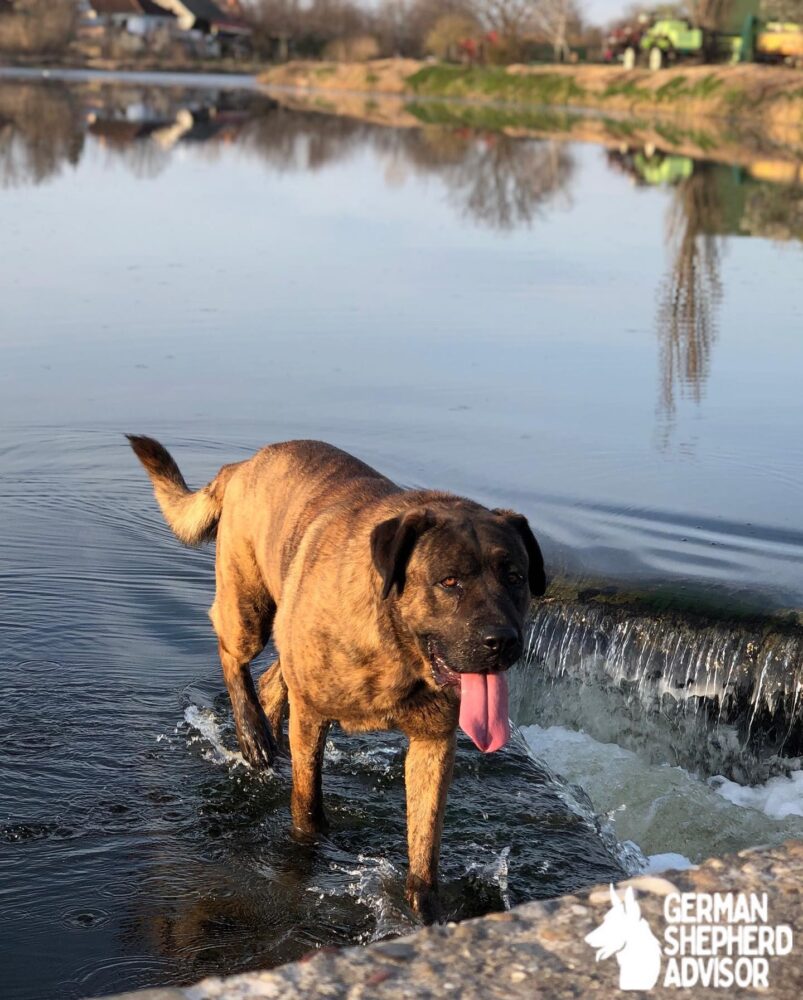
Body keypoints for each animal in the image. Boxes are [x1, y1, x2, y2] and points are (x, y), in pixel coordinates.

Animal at [129, 434, 548, 916]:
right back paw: (252, 734)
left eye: (515, 576)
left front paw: (425, 908)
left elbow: (425, 838)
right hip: (247, 605)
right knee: (231, 651)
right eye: (449, 581)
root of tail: (242, 465)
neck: (396, 648)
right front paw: (308, 849)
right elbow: (308, 801)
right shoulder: (311, 717)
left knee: (272, 681)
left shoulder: (434, 742)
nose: (503, 641)